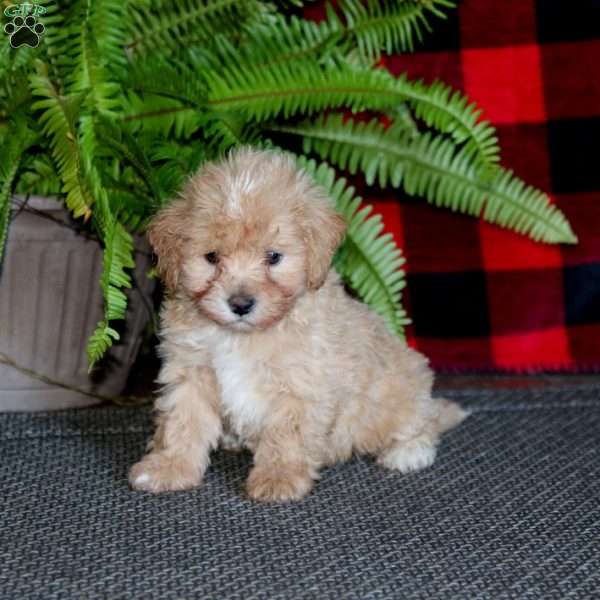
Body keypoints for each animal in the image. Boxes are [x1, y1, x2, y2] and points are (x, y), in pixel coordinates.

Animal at [130, 146, 468, 502]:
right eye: (212, 257)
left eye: (273, 257)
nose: (240, 304)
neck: (242, 336)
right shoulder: (190, 371)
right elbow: (181, 422)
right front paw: (168, 467)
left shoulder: (300, 383)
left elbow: (286, 433)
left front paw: (279, 476)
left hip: (399, 393)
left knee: (421, 422)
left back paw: (408, 451)